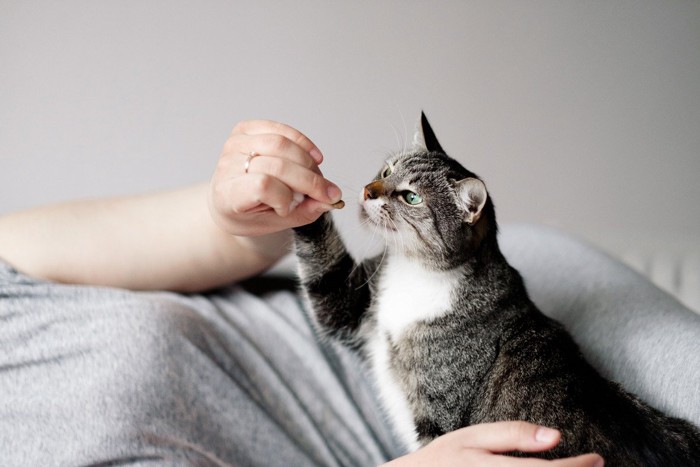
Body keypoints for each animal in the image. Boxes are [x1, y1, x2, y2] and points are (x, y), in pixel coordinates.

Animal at [292, 114, 700, 467]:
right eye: (387, 170)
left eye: (411, 198)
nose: (367, 191)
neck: (416, 273)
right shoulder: (354, 302)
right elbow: (326, 273)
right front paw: (298, 186)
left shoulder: (440, 418)